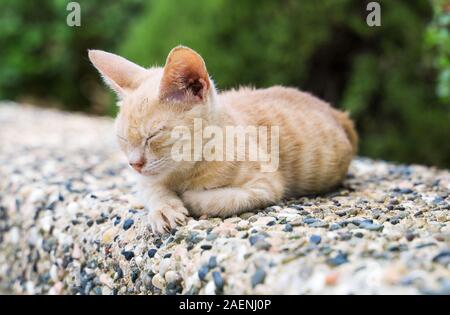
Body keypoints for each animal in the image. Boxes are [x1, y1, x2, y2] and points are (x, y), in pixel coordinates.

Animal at [87, 46, 356, 235]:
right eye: (122, 139)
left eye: (153, 135)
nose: (134, 164)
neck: (184, 170)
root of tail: (338, 113)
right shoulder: (146, 180)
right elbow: (151, 189)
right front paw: (165, 207)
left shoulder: (265, 185)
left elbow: (218, 199)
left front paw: (187, 197)